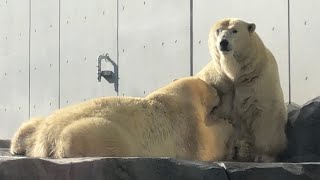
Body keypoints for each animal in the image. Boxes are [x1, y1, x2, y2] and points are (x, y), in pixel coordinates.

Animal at [10, 76, 232, 161]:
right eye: (211, 88)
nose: (218, 93)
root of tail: (44, 139)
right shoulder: (186, 127)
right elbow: (207, 144)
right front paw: (227, 126)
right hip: (107, 134)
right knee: (76, 137)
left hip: (41, 123)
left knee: (30, 124)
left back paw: (18, 146)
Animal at [195, 17, 288, 162]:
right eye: (218, 30)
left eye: (234, 30)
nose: (223, 42)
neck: (234, 73)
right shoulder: (217, 80)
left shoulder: (259, 79)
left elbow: (266, 113)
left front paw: (263, 156)